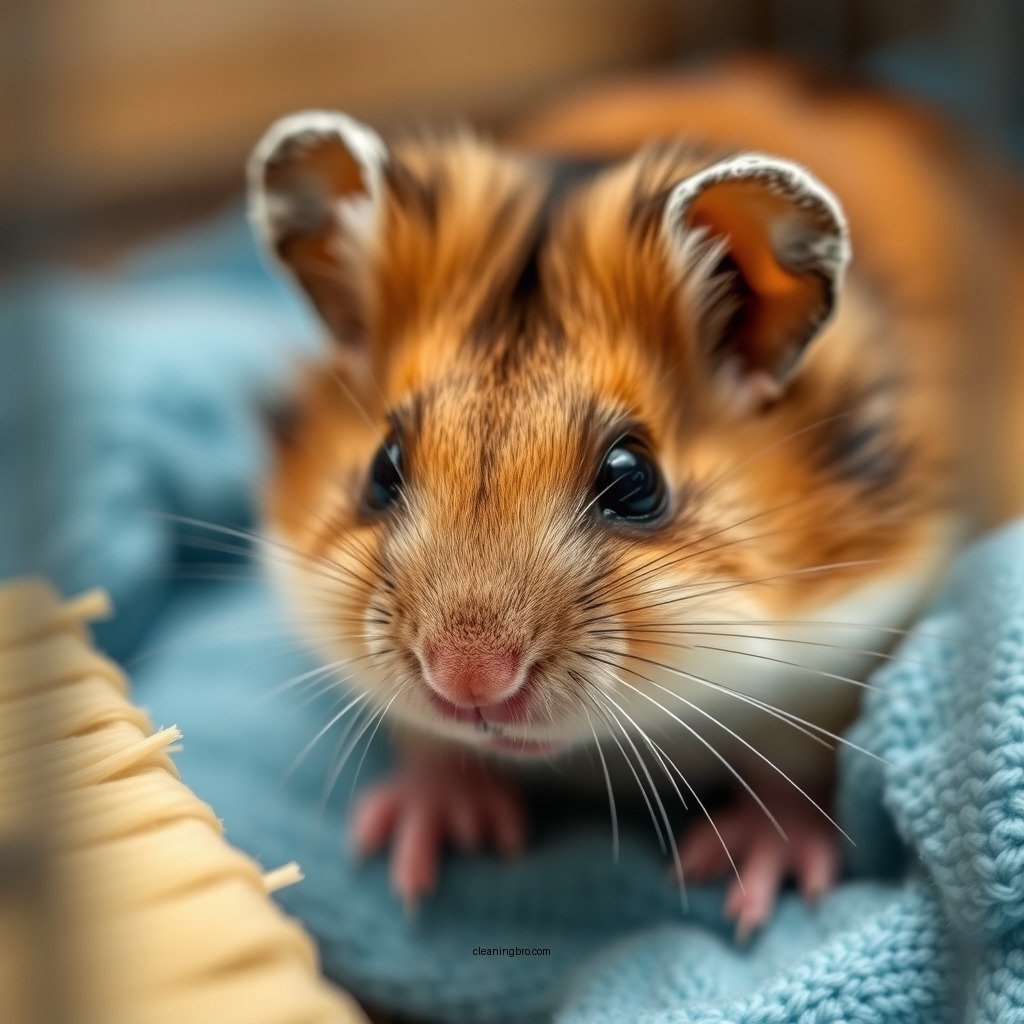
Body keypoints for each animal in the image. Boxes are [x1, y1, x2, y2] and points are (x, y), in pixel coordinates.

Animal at [247, 63, 991, 936]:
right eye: (381, 469)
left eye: (635, 480)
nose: (468, 682)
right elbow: (424, 743)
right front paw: (415, 852)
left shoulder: (851, 646)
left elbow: (798, 771)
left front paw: (743, 888)